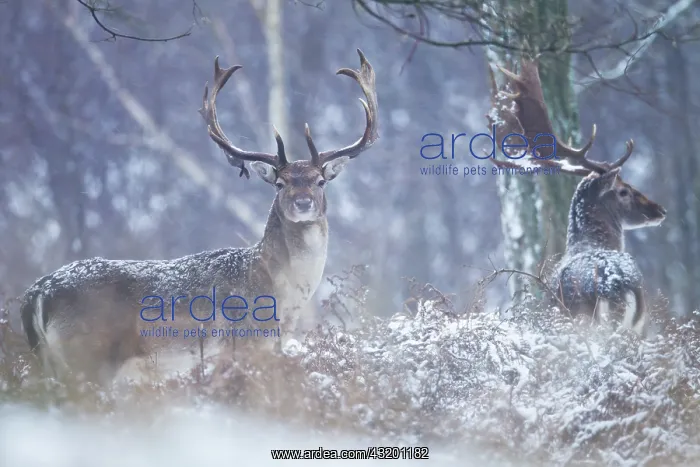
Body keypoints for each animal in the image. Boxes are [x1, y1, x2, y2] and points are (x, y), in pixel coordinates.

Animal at [19, 49, 379, 385]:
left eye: (320, 181)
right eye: (280, 183)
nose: (303, 203)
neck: (281, 294)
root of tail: (37, 294)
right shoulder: (244, 345)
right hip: (85, 357)